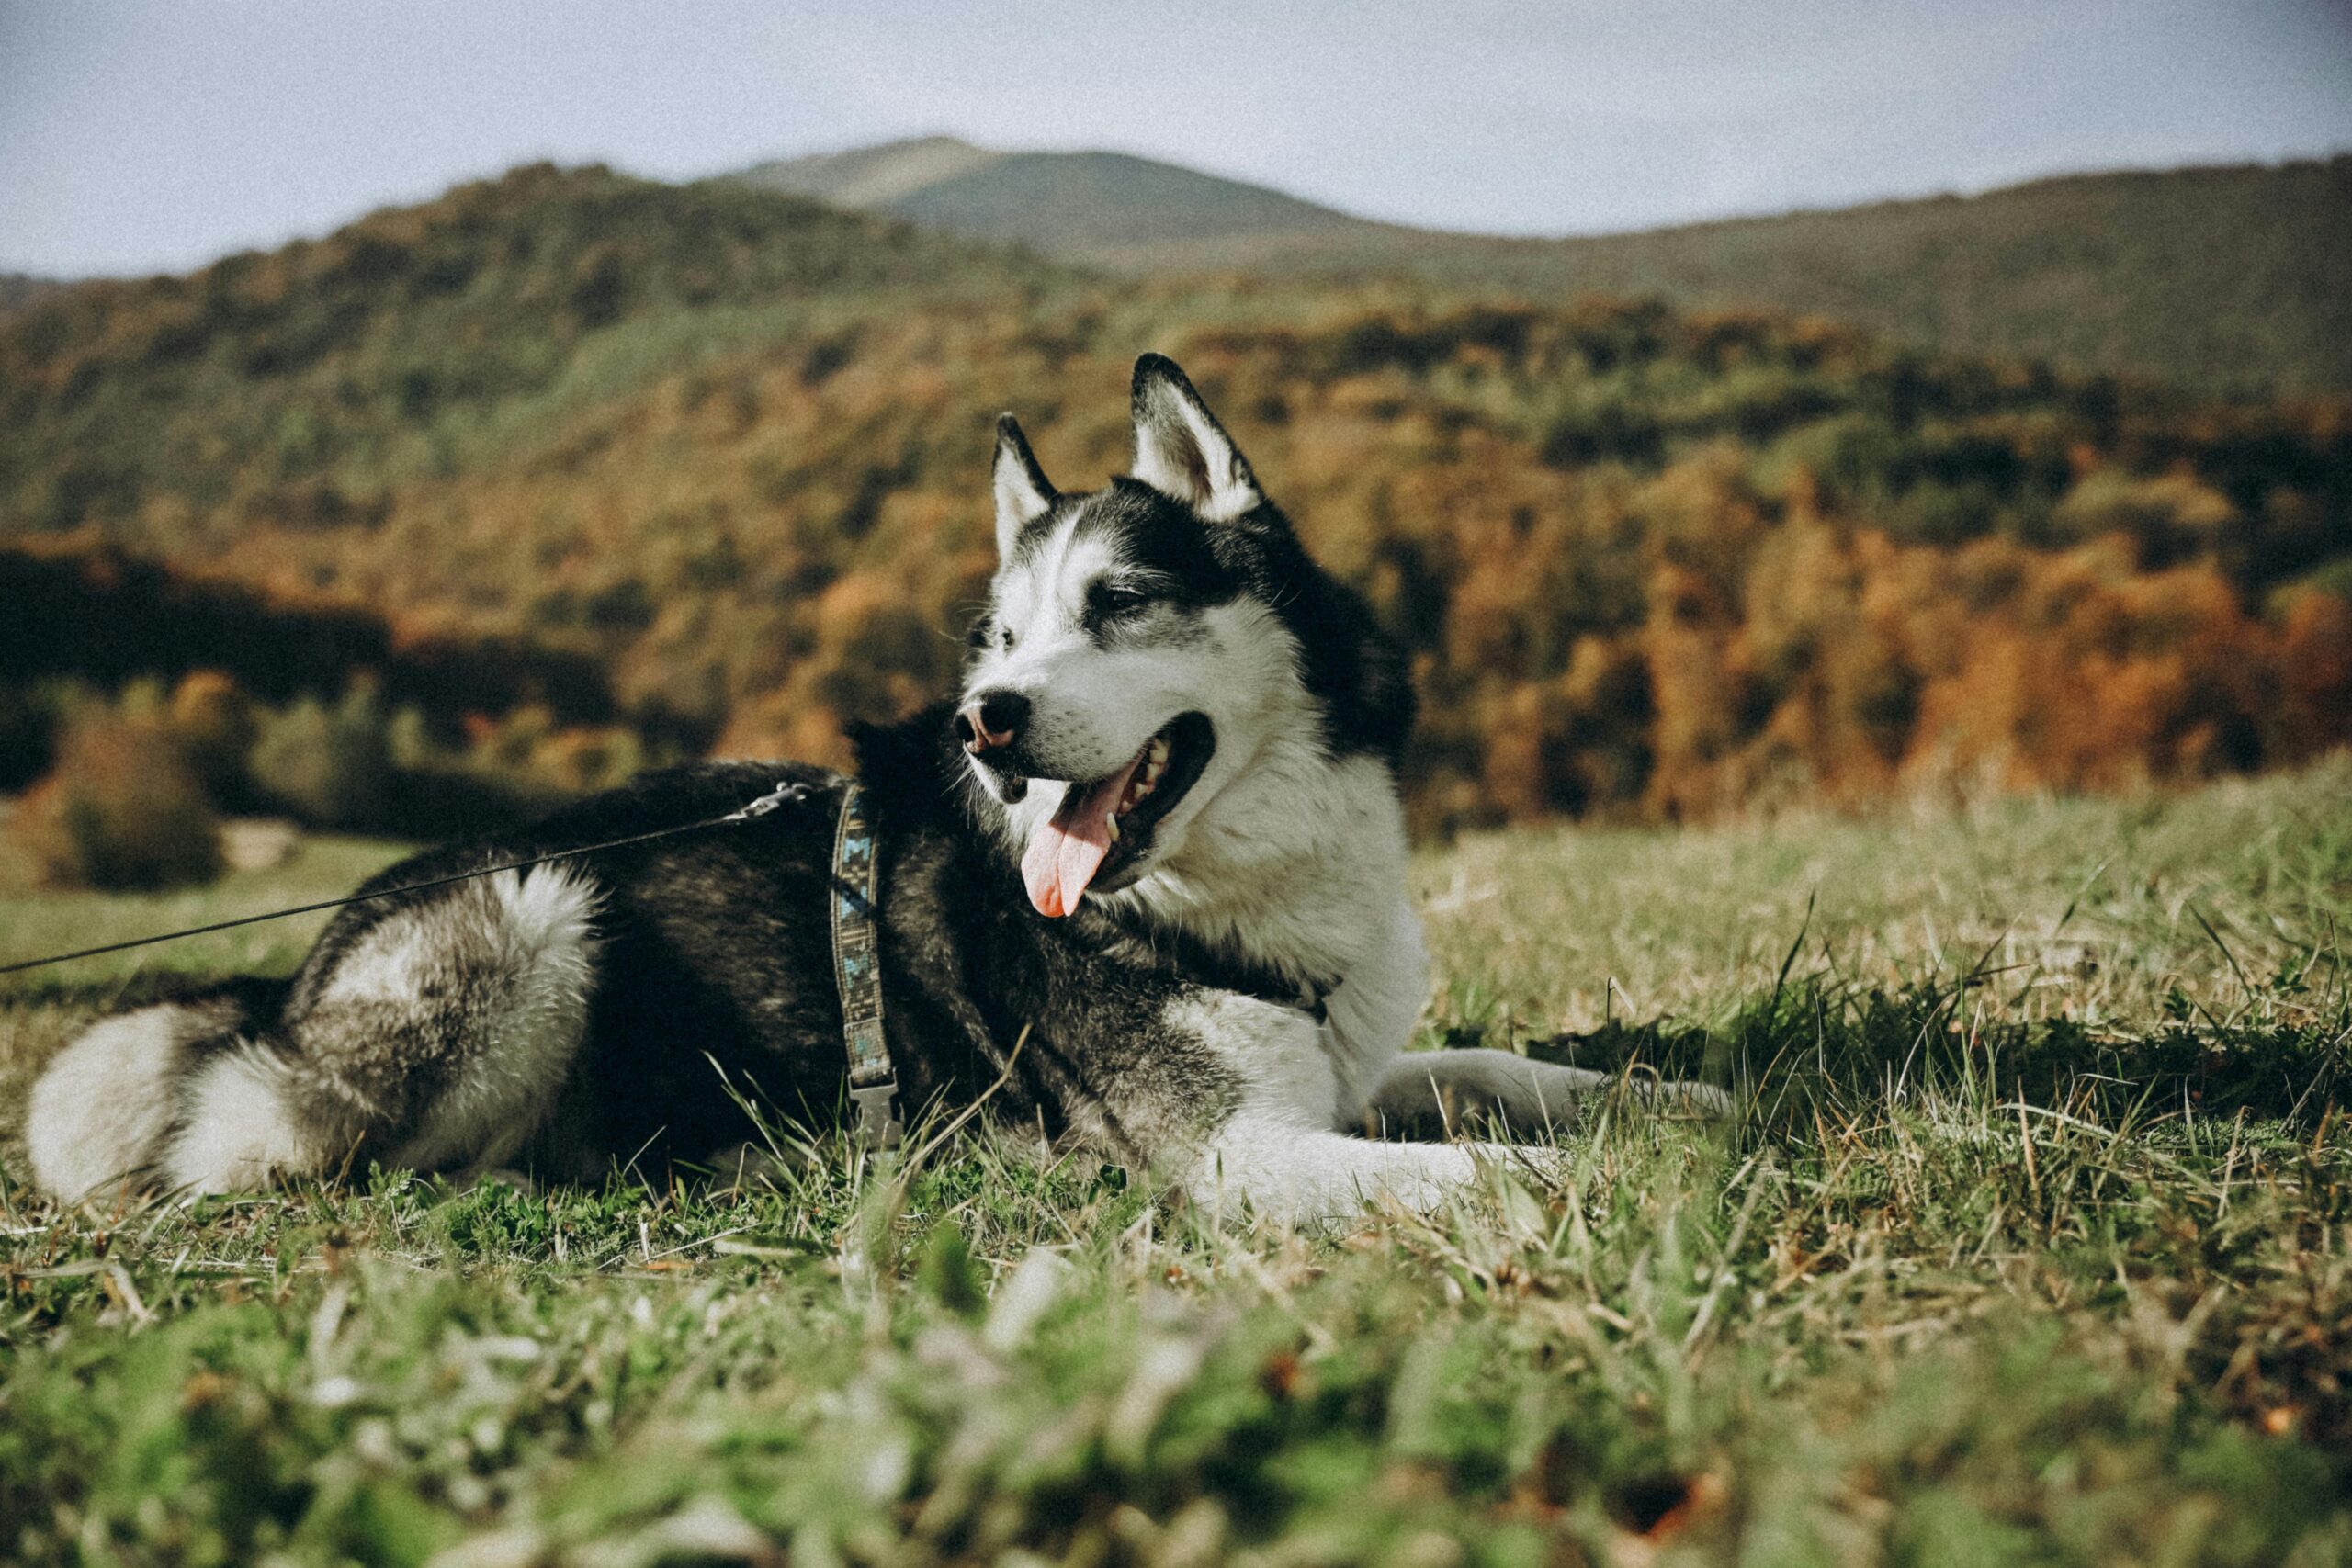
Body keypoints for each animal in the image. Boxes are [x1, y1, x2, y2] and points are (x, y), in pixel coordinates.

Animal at [22, 359, 1731, 1222]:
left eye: (1117, 603)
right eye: (1003, 636)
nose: (987, 722)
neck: (1232, 889)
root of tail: (293, 975)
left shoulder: (1341, 1066)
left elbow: (1500, 1068)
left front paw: (1670, 1102)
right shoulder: (1234, 1155)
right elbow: (1478, 1165)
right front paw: (1632, 1177)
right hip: (531, 911)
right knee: (287, 1150)